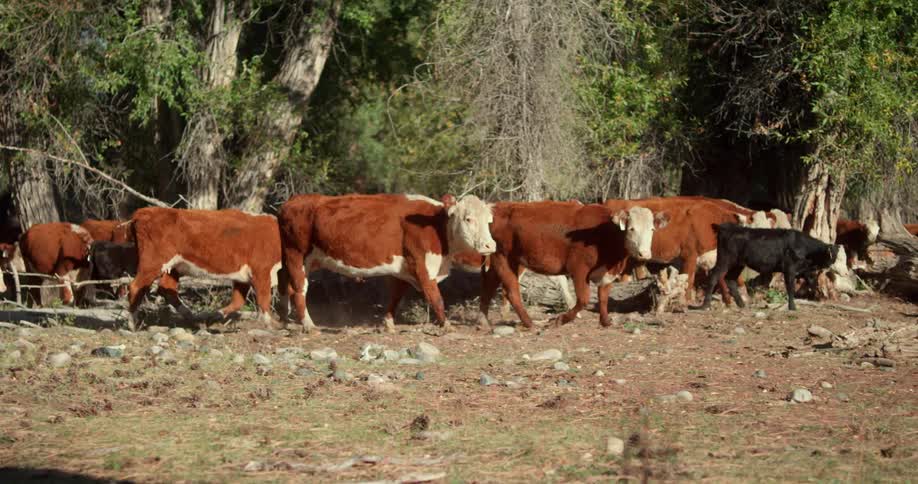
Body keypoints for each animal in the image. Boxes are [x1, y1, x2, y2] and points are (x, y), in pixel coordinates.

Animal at [126, 208, 285, 330]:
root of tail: (144, 211)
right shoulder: (262, 270)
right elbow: (264, 298)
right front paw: (272, 323)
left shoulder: (243, 277)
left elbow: (238, 301)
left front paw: (214, 316)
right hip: (153, 261)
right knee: (135, 286)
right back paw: (132, 324)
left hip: (175, 267)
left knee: (166, 288)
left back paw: (193, 317)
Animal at [278, 194, 496, 333]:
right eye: (468, 219)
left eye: (489, 221)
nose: (490, 245)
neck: (437, 226)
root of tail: (292, 201)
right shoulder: (422, 267)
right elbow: (437, 298)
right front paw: (446, 325)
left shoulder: (404, 269)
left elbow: (396, 297)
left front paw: (388, 323)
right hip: (296, 254)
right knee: (299, 289)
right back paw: (308, 325)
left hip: (305, 260)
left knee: (285, 286)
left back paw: (285, 321)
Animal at [477, 202, 665, 329]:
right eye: (632, 229)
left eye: (652, 230)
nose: (644, 254)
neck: (604, 233)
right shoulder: (579, 269)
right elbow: (583, 299)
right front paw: (561, 320)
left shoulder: (607, 274)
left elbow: (603, 297)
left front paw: (605, 321)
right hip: (503, 258)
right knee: (512, 291)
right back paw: (529, 323)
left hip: (503, 260)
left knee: (489, 286)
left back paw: (483, 320)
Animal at [699, 224, 840, 311]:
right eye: (831, 256)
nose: (830, 265)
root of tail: (726, 227)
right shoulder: (789, 268)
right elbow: (790, 287)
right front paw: (792, 307)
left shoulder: (806, 271)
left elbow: (812, 283)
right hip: (725, 260)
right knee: (714, 275)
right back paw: (705, 305)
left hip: (738, 264)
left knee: (730, 280)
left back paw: (742, 304)